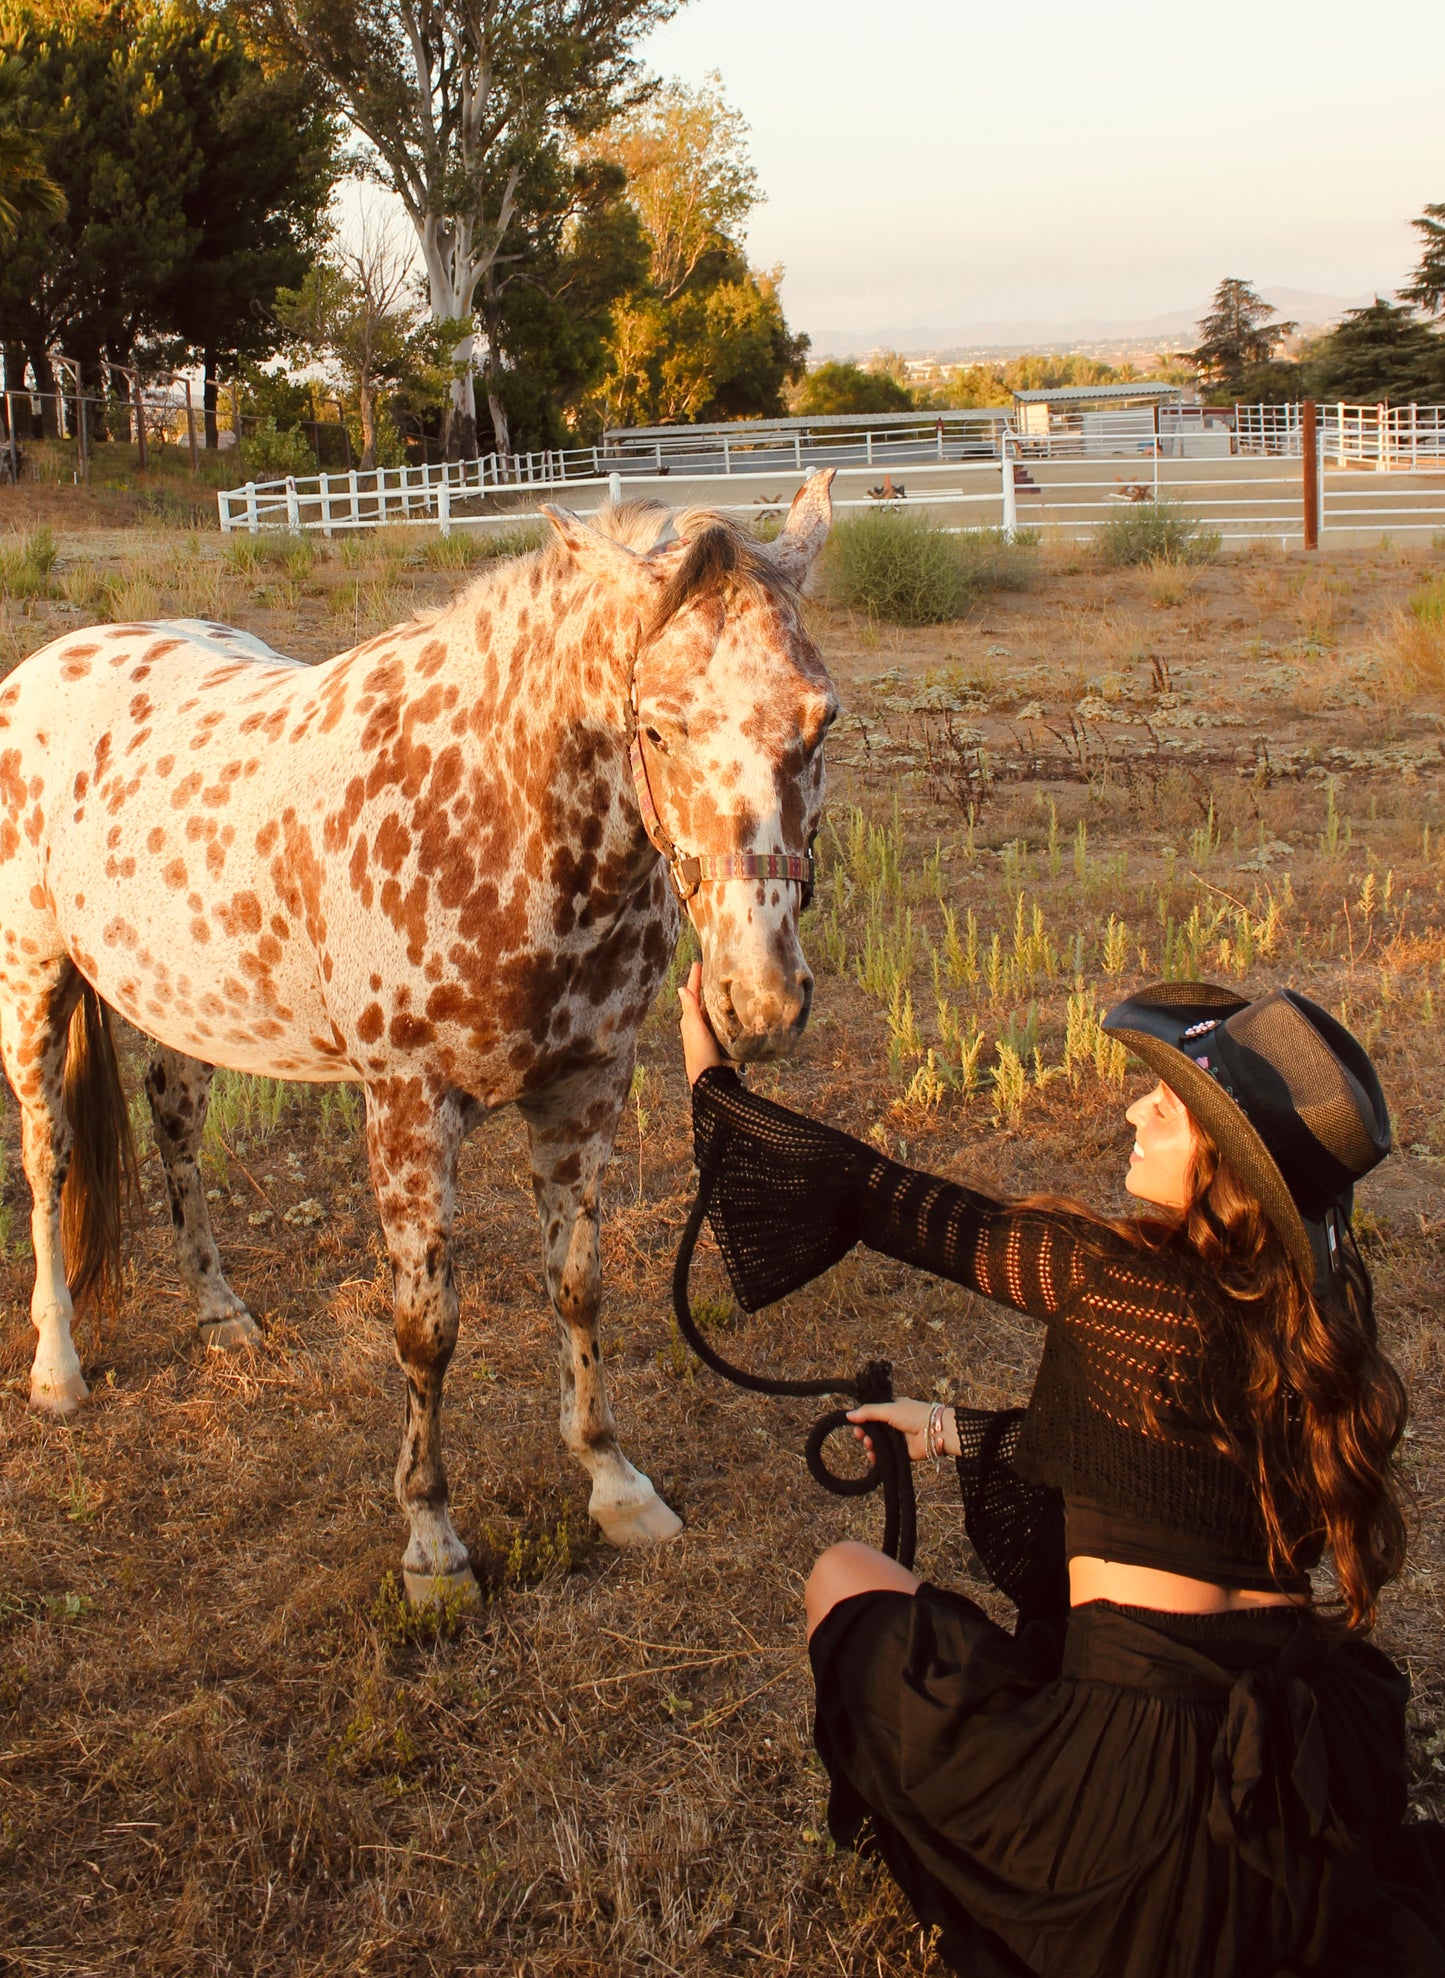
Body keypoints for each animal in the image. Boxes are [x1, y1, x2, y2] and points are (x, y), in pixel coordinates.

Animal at [0, 474, 842, 1606]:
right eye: (658, 730)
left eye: (821, 722)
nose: (761, 1004)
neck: (494, 818)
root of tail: (45, 663)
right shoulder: (408, 1112)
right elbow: (426, 1329)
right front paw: (433, 1546)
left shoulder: (585, 1091)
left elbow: (577, 1288)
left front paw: (615, 1484)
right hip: (32, 985)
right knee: (47, 1163)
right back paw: (58, 1369)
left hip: (187, 1005)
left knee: (173, 1129)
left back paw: (221, 1313)